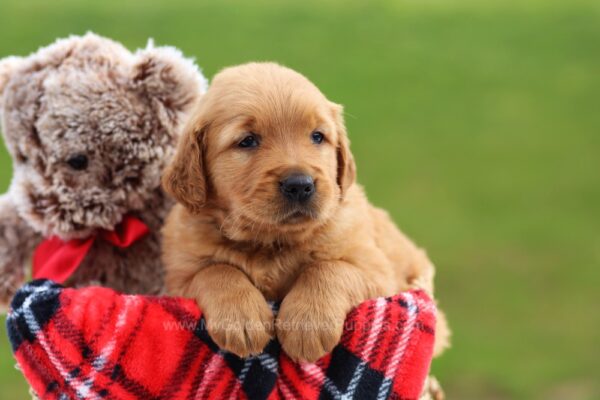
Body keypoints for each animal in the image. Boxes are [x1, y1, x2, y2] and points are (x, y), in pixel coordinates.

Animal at [162, 62, 448, 362]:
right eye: (247, 141)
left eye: (317, 136)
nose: (300, 185)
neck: (270, 242)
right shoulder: (179, 275)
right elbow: (216, 271)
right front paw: (240, 318)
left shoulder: (377, 271)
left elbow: (329, 267)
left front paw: (308, 324)